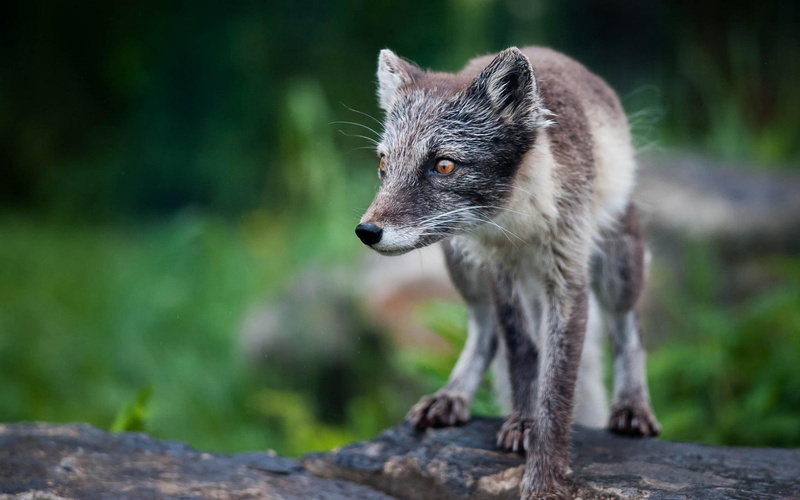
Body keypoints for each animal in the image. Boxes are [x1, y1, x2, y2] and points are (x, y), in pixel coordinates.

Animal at [354, 46, 660, 500]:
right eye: (382, 162)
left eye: (443, 166)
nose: (366, 231)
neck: (516, 223)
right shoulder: (499, 272)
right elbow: (520, 350)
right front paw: (523, 423)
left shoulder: (568, 279)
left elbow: (557, 386)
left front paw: (544, 477)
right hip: (461, 265)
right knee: (484, 332)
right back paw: (453, 395)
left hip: (617, 265)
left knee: (629, 328)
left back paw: (632, 405)